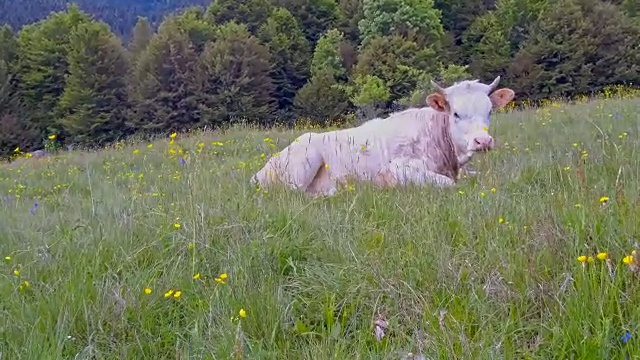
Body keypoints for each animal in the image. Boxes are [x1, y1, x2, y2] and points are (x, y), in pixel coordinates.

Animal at [252, 75, 516, 197]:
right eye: (456, 114)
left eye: (489, 111)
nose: (483, 141)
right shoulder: (399, 168)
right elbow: (448, 184)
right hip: (305, 161)